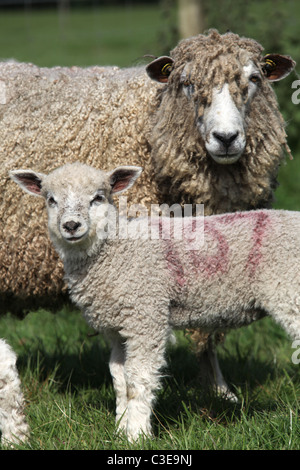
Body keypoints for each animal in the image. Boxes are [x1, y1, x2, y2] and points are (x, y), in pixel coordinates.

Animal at [0, 28, 296, 400]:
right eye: (186, 84)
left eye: (254, 79)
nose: (226, 138)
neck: (150, 127)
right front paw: (217, 388)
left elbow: (206, 336)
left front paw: (218, 390)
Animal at [9, 162, 300, 440]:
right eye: (51, 200)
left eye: (98, 198)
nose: (71, 226)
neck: (114, 250)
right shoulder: (116, 328)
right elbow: (120, 379)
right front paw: (120, 428)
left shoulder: (146, 313)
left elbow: (138, 379)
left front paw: (137, 434)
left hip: (290, 293)